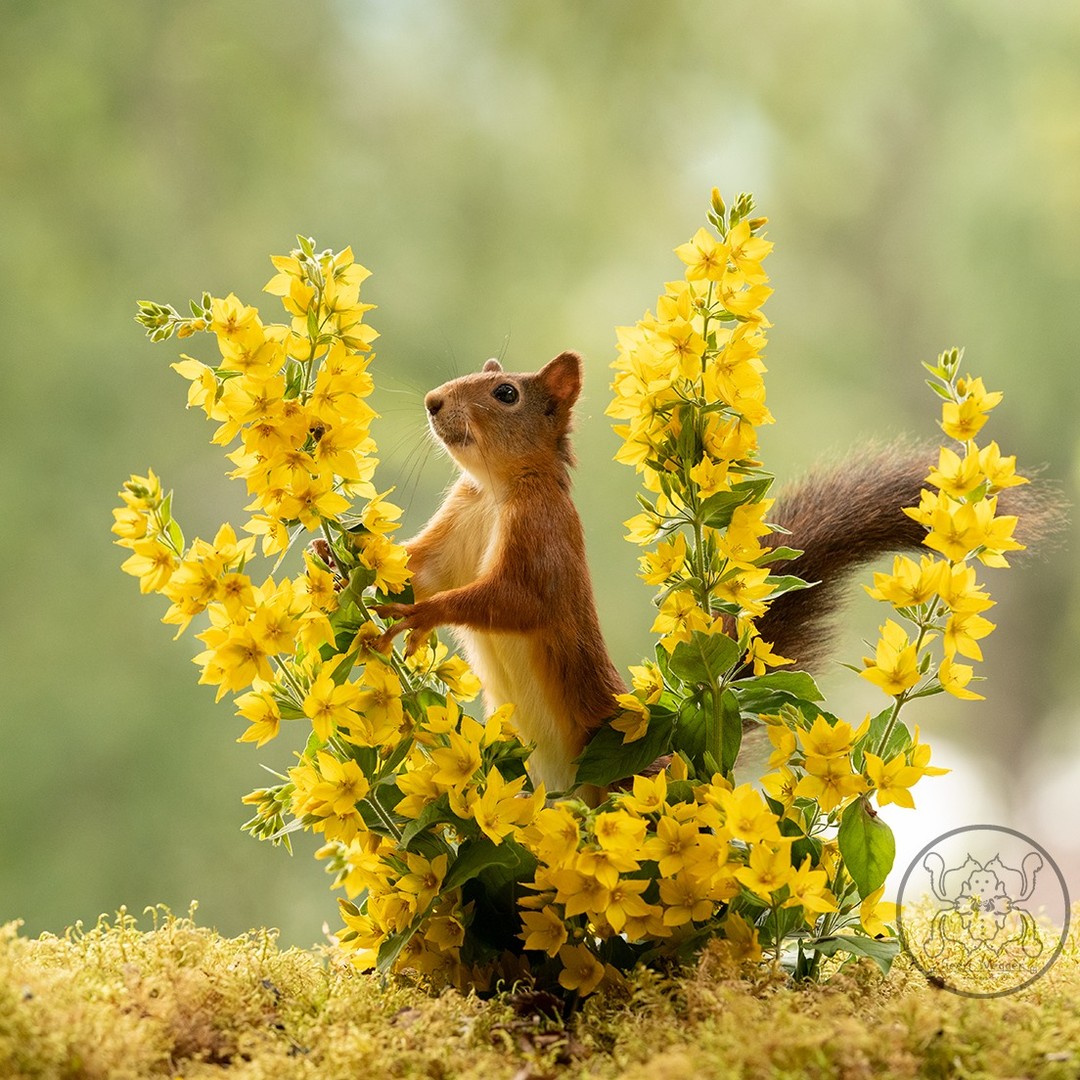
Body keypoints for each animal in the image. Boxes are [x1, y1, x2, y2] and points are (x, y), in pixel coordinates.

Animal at [375, 351, 1054, 793]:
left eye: (506, 394)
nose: (433, 402)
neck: (496, 492)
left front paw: (421, 615)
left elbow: (512, 602)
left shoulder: (543, 544)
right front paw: (360, 564)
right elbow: (424, 567)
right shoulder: (459, 520)